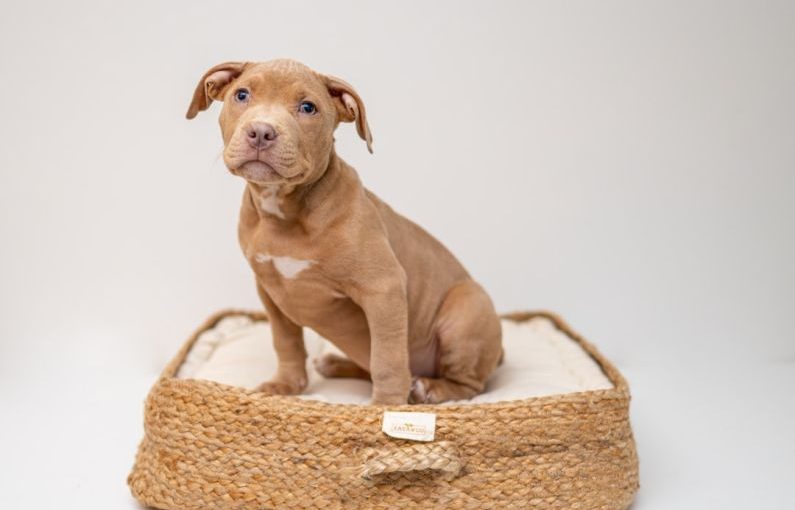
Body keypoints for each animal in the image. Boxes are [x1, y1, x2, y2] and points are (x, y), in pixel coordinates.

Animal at [187, 58, 500, 402]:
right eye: (241, 95)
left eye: (308, 107)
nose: (261, 132)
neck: (284, 212)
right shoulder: (269, 291)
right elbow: (286, 341)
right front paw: (286, 384)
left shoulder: (383, 288)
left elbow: (387, 357)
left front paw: (386, 404)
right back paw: (336, 363)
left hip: (468, 308)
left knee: (468, 384)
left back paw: (430, 388)